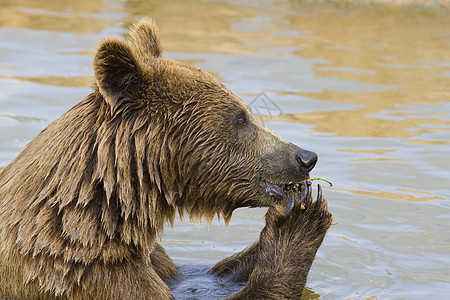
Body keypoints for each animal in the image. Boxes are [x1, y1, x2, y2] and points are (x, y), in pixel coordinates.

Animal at [0, 17, 330, 298]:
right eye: (241, 118)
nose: (305, 157)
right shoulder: (85, 273)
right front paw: (300, 221)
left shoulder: (153, 259)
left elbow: (198, 277)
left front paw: (292, 208)